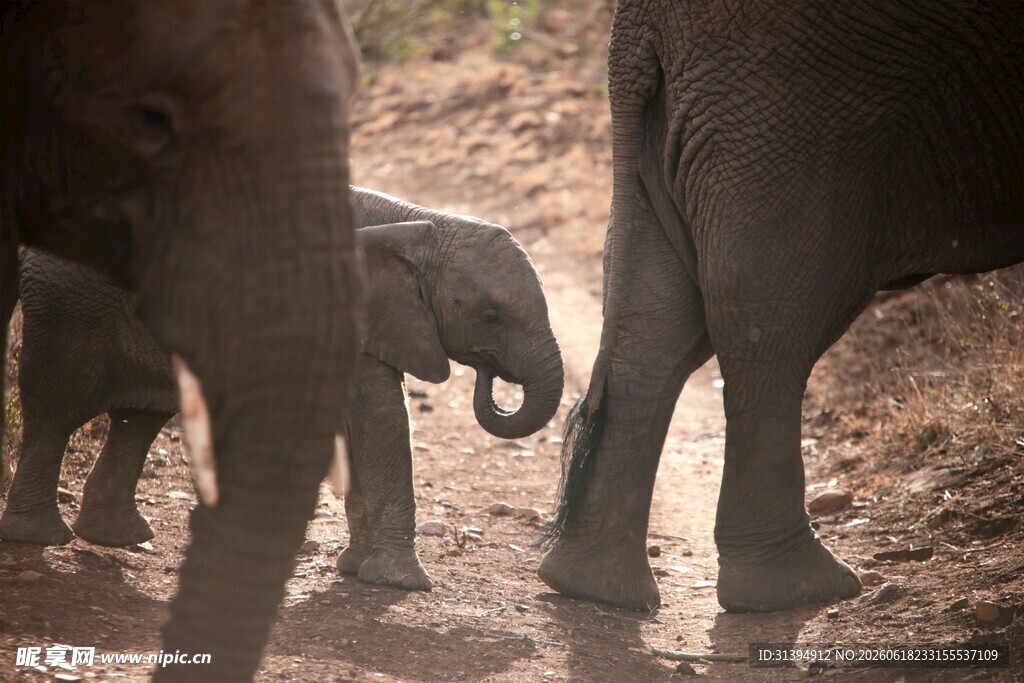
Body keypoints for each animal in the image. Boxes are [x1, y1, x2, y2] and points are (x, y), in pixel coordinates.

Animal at [3, 187, 563, 594]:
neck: (423, 225)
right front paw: (403, 585)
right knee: (56, 411)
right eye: (491, 317)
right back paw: (40, 537)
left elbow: (357, 424)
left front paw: (355, 568)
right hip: (71, 309)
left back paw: (119, 536)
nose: (490, 372)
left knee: (139, 416)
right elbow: (380, 419)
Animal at [538, 0, 1024, 614]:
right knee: (771, 318)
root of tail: (636, 24)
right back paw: (798, 592)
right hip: (796, 106)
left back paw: (594, 587)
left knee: (659, 323)